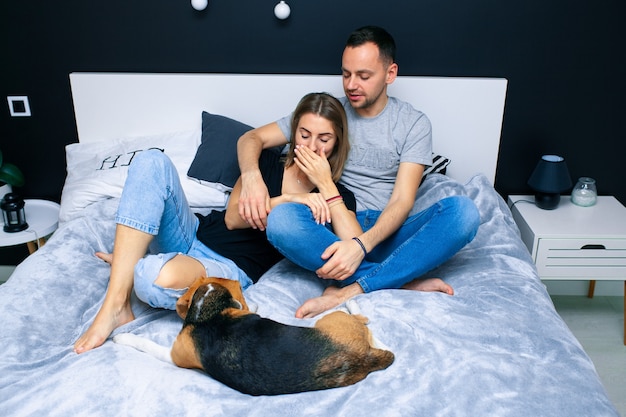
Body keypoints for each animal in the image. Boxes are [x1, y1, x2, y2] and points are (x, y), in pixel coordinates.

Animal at [114, 278, 392, 394]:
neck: (209, 313)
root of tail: (363, 357)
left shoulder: (175, 355)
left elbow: (145, 343)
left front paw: (121, 339)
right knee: (374, 333)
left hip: (330, 319)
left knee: (362, 320)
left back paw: (353, 305)